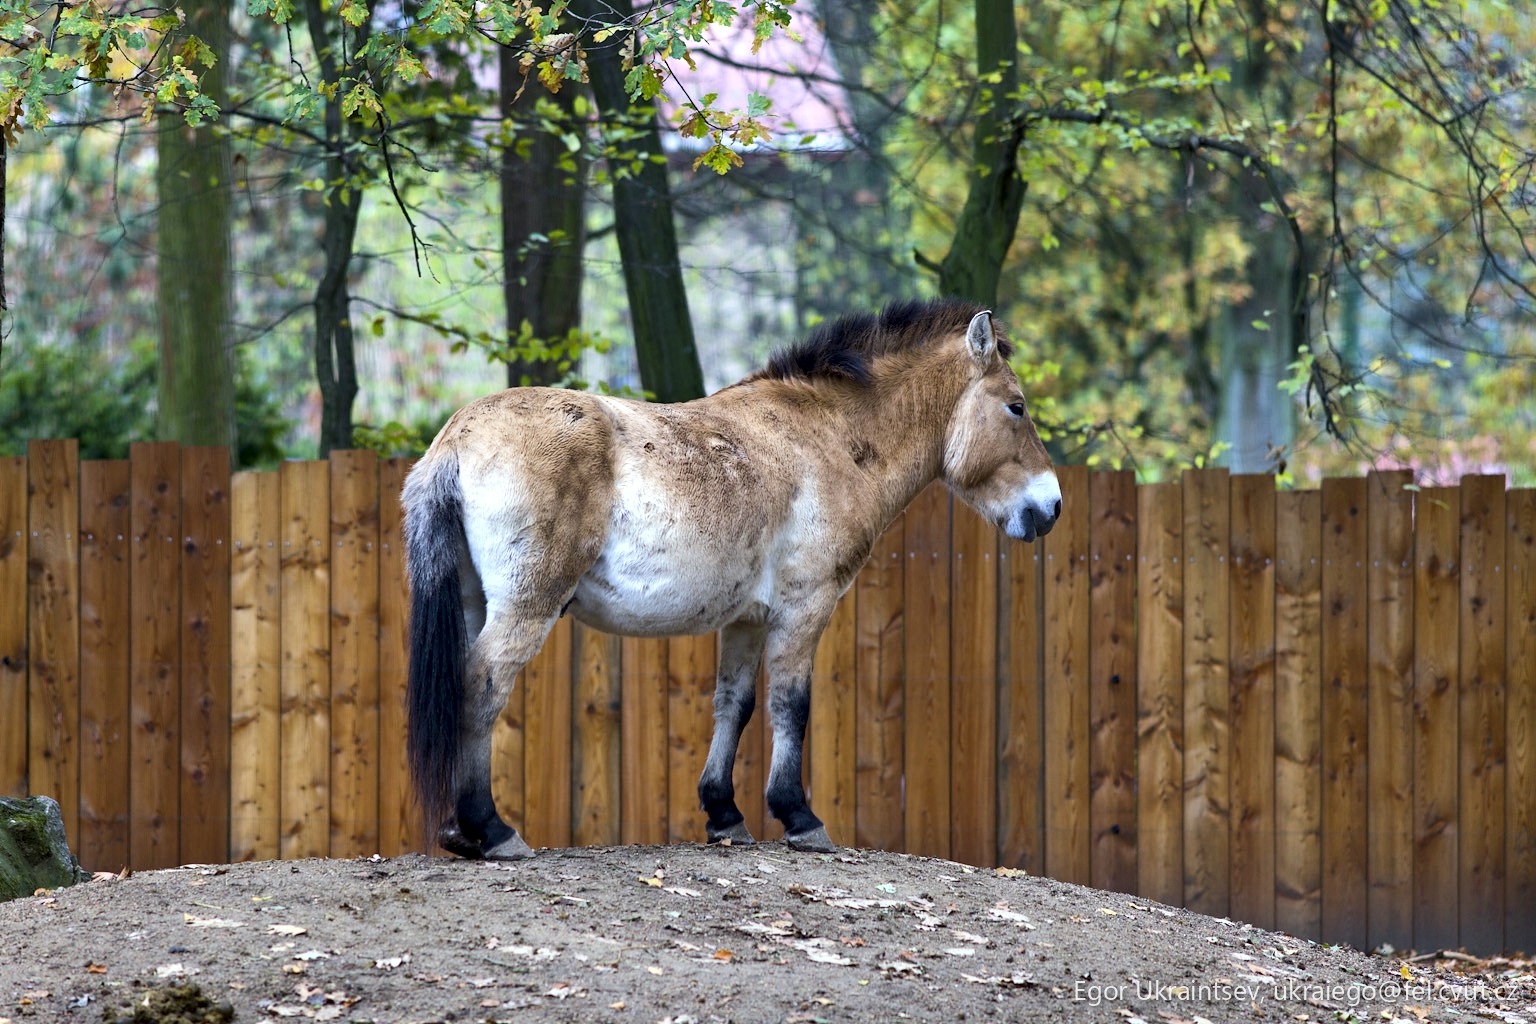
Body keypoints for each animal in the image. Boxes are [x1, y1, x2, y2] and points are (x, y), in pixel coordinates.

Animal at [403, 298, 1061, 859]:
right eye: (1017, 406)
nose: (1050, 507)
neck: (826, 439)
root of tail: (456, 437)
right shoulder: (805, 607)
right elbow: (791, 704)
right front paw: (799, 816)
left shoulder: (746, 620)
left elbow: (734, 705)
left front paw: (724, 814)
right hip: (527, 605)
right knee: (482, 684)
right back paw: (490, 829)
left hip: (475, 602)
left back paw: (462, 831)